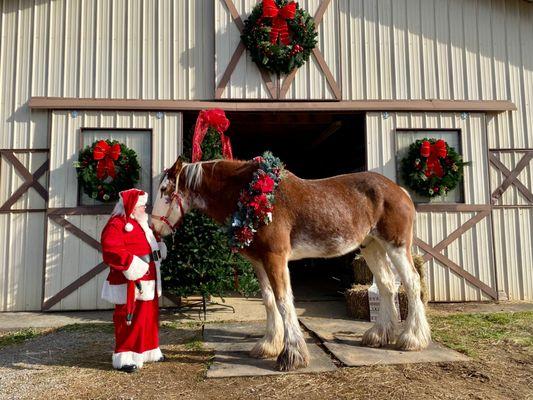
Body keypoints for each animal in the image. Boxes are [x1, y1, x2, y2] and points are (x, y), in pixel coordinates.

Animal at [149, 158, 428, 370]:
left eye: (164, 190)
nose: (153, 227)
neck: (250, 196)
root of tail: (399, 190)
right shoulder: (259, 262)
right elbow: (269, 301)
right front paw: (269, 345)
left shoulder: (276, 257)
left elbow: (284, 301)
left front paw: (292, 354)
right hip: (372, 246)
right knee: (387, 286)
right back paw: (379, 335)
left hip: (395, 246)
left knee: (412, 283)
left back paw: (412, 338)